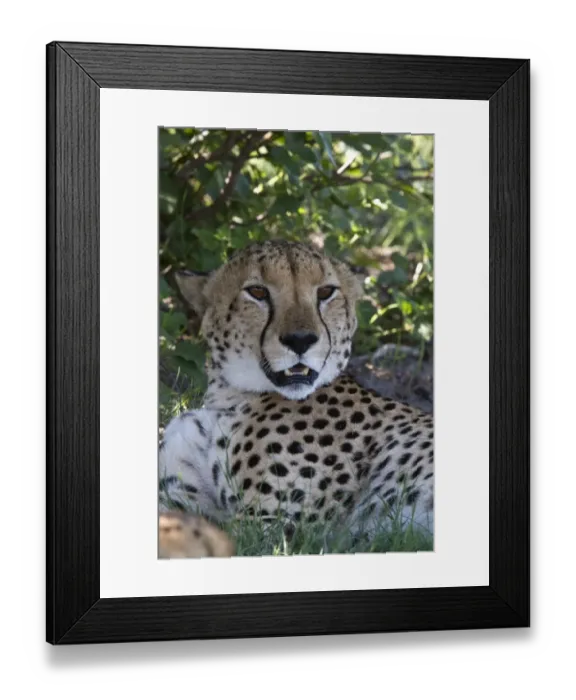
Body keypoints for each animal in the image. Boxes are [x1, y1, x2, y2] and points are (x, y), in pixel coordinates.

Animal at [158, 240, 433, 557]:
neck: (228, 396)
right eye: (257, 292)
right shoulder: (185, 499)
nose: (301, 340)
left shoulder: (272, 529)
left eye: (326, 292)